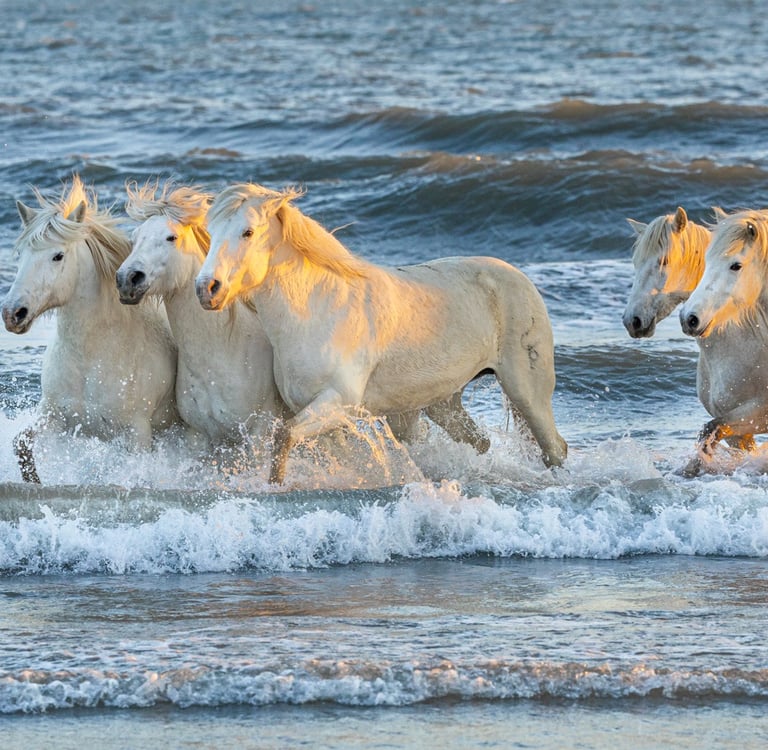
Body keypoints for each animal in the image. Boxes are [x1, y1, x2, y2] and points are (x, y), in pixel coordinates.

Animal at [1, 175, 177, 483]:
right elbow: (20, 443)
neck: (91, 359)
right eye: (20, 254)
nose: (13, 314)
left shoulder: (137, 434)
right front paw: (35, 481)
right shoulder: (54, 416)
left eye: (58, 256)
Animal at [194, 184, 567, 484]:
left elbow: (284, 437)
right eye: (210, 232)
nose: (207, 289)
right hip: (444, 401)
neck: (317, 310)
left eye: (248, 232)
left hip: (526, 389)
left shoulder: (338, 402)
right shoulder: (322, 413)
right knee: (480, 442)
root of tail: (518, 276)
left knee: (554, 448)